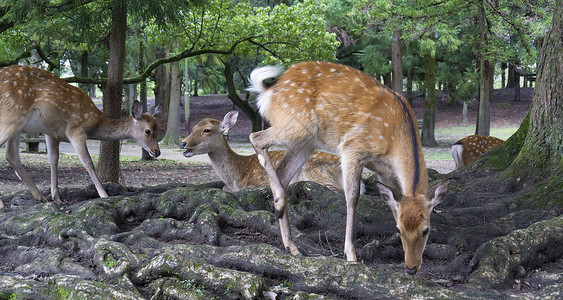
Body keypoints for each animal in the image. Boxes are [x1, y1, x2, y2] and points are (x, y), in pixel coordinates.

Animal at [0, 65, 161, 209]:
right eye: (148, 131)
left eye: (157, 128)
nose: (157, 151)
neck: (96, 122)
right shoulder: (76, 129)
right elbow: (87, 162)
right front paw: (104, 195)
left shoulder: (52, 133)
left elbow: (53, 159)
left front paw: (56, 197)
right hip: (11, 115)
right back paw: (4, 203)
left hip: (17, 125)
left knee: (11, 155)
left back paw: (40, 196)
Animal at [180, 110, 362, 195]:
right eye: (193, 127)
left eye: (207, 130)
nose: (183, 143)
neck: (236, 177)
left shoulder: (252, 185)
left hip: (317, 173)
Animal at [249, 60, 452, 274]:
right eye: (399, 230)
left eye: (426, 229)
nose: (411, 268)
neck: (393, 142)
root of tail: (269, 89)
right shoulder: (352, 148)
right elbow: (353, 196)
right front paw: (351, 255)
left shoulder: (385, 172)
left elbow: (392, 203)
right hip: (297, 124)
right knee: (256, 138)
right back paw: (280, 204)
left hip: (306, 141)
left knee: (282, 175)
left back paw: (292, 246)